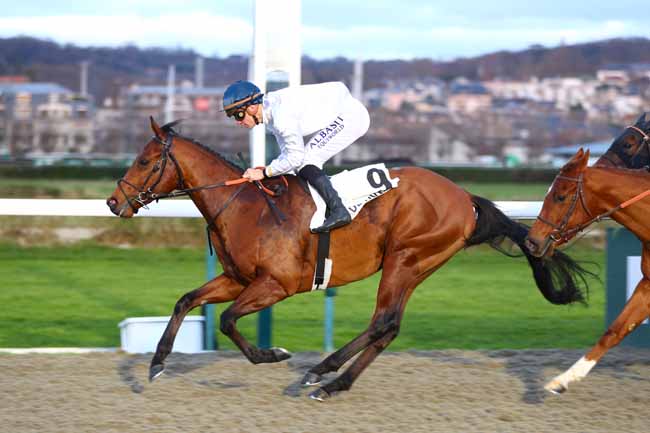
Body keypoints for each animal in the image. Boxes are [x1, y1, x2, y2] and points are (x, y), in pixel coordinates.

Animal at [106, 116, 588, 400]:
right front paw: (156, 363)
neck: (245, 206)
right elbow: (186, 300)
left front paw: (273, 354)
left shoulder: (275, 285)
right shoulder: (239, 279)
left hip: (405, 258)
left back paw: (322, 373)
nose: (114, 202)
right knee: (388, 327)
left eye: (145, 161)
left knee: (382, 322)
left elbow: (225, 320)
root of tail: (465, 198)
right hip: (415, 266)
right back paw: (334, 380)